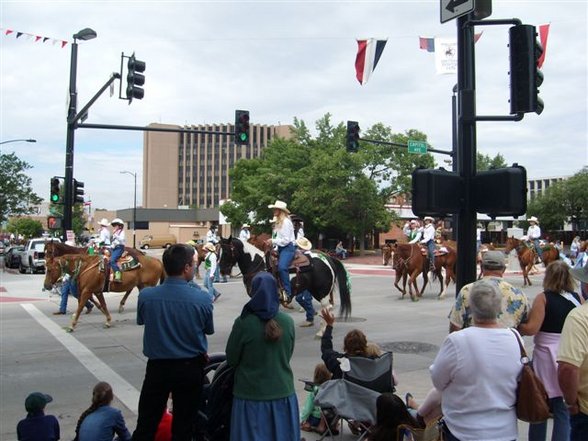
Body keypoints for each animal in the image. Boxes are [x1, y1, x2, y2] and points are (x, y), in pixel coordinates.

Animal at [219, 237, 352, 334]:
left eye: (225, 252)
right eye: (218, 252)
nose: (222, 271)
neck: (259, 267)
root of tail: (328, 258)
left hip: (322, 293)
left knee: (326, 308)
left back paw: (321, 332)